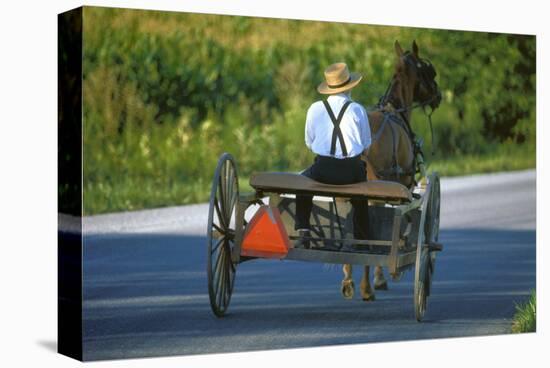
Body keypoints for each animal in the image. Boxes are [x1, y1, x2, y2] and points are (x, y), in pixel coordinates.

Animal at [340, 39, 444, 302]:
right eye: (429, 72)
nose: (438, 96)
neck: (395, 109)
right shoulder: (401, 186)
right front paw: (380, 278)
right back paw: (367, 287)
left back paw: (348, 280)